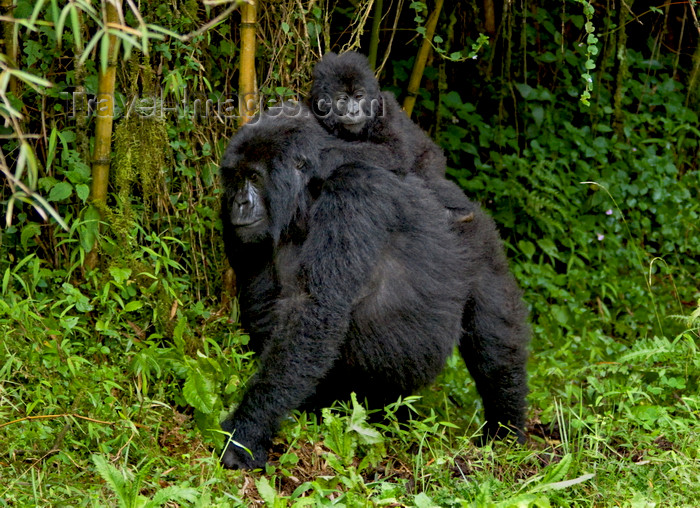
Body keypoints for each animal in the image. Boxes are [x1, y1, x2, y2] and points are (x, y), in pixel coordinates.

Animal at [221, 105, 528, 470]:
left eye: (254, 177)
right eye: (235, 177)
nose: (238, 203)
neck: (308, 197)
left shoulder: (356, 192)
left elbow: (316, 310)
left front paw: (246, 432)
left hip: (480, 239)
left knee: (495, 340)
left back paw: (505, 429)